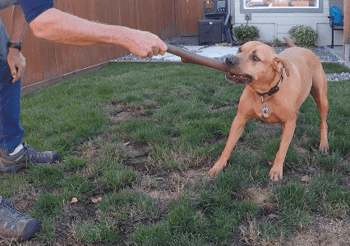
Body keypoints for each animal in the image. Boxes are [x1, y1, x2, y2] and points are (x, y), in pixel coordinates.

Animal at [209, 38, 330, 181]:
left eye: (255, 58)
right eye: (239, 49)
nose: (228, 59)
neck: (265, 93)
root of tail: (303, 48)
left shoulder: (289, 122)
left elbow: (282, 149)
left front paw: (276, 169)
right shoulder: (239, 119)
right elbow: (228, 146)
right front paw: (219, 165)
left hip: (321, 98)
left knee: (323, 122)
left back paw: (324, 143)